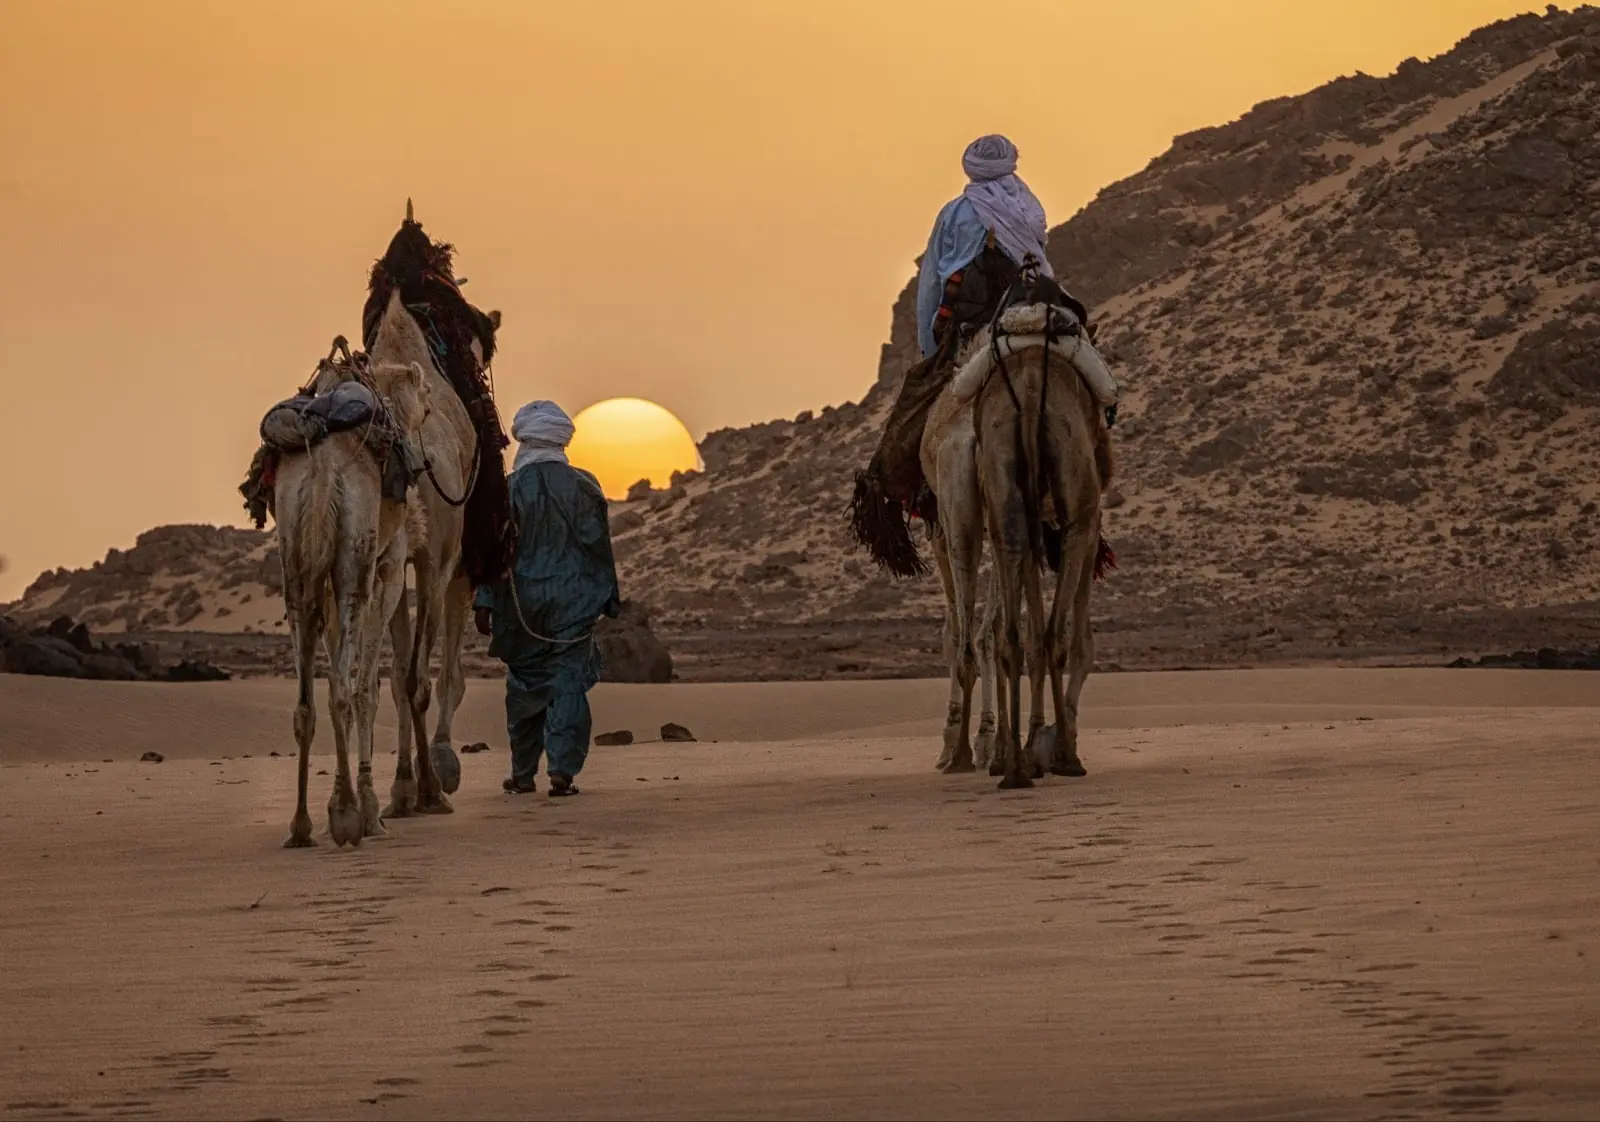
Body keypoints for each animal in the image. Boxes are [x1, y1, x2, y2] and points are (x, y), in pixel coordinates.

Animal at [273, 353, 432, 845]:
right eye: (425, 396)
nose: (431, 402)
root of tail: (323, 469)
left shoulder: (324, 585)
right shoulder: (389, 565)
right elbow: (368, 687)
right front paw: (370, 810)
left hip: (295, 556)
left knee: (309, 697)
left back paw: (302, 825)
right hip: (355, 557)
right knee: (344, 686)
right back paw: (346, 815)